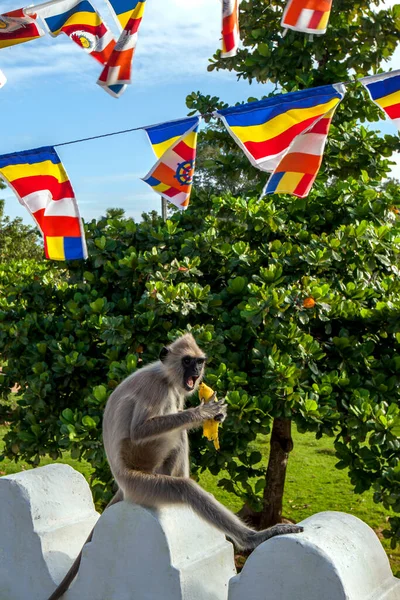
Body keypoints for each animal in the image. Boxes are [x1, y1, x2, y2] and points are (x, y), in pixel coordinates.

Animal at [47, 332, 302, 600]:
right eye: (187, 360)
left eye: (199, 361)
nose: (197, 370)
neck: (165, 376)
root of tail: (123, 484)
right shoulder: (157, 389)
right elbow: (140, 430)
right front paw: (203, 413)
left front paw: (217, 417)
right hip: (142, 480)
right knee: (180, 475)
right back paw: (252, 538)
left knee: (179, 435)